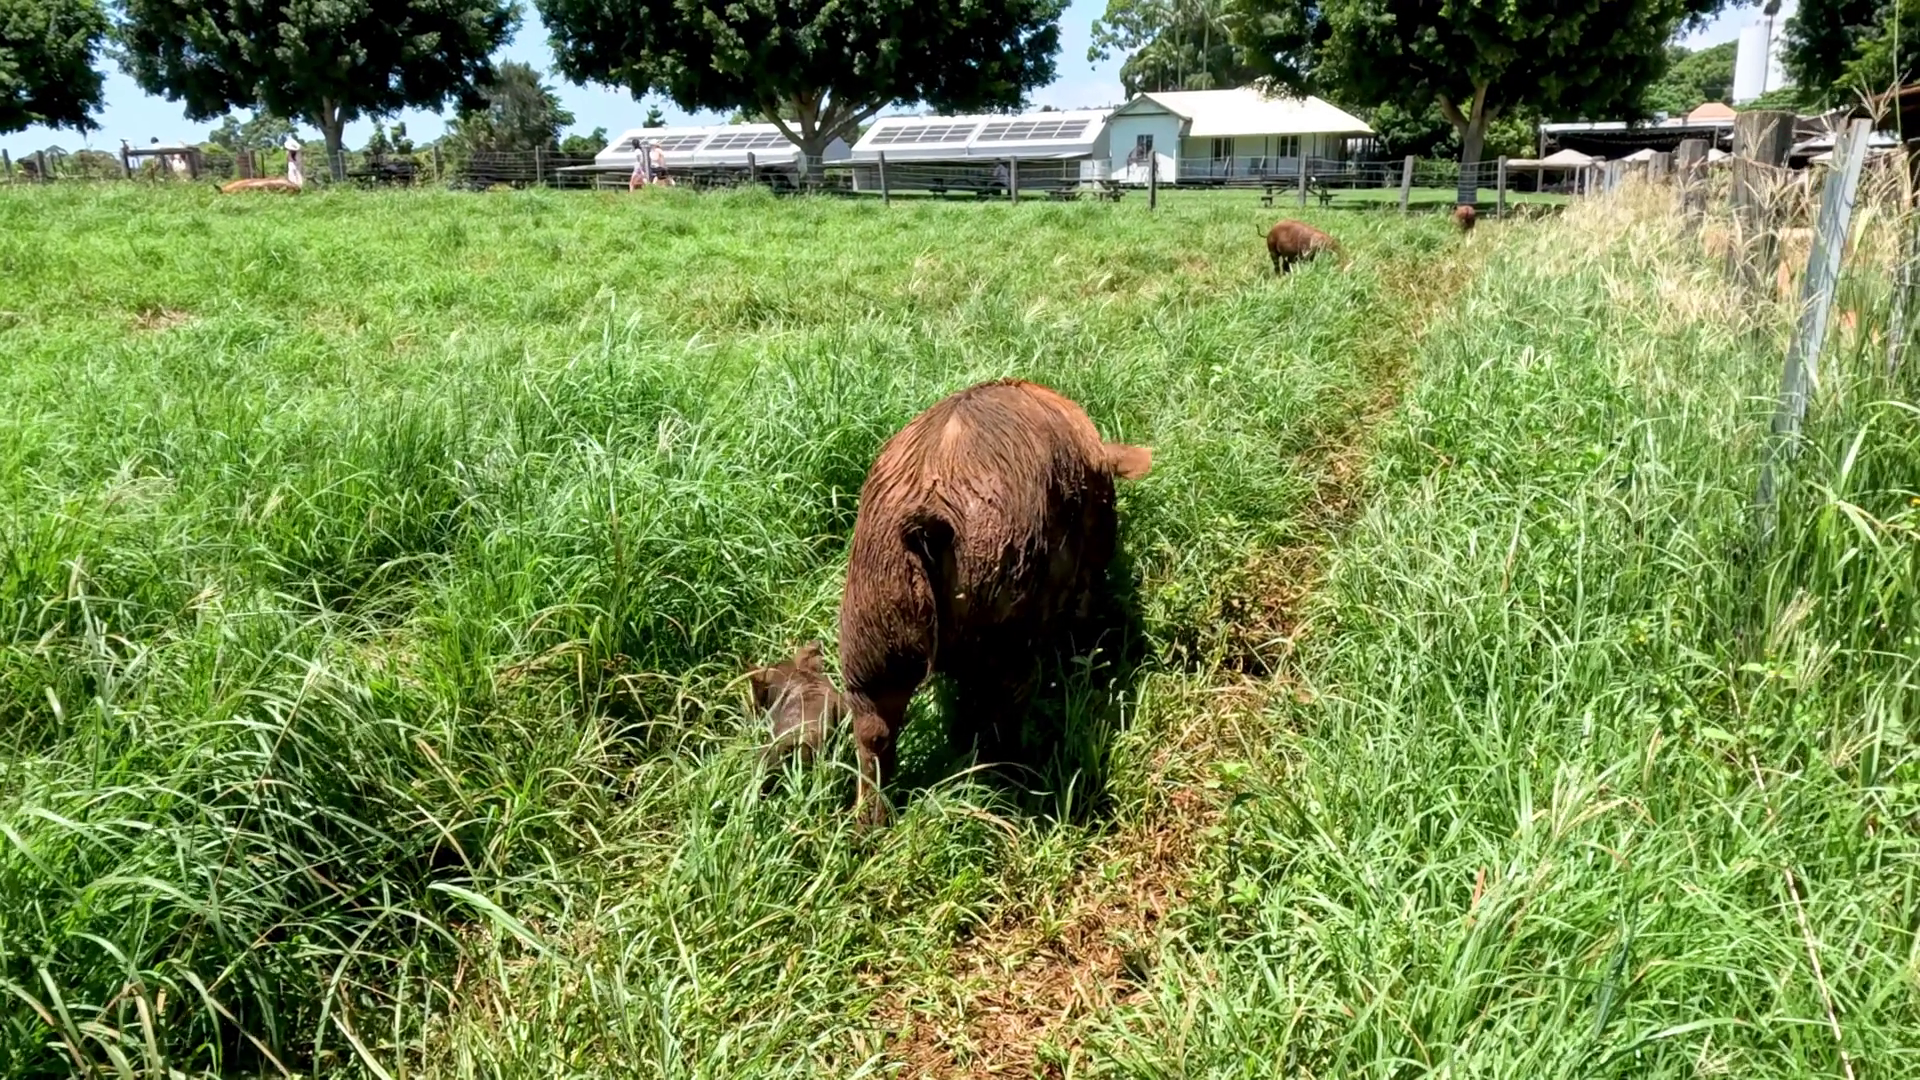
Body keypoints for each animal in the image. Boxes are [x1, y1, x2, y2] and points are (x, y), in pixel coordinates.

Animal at [837, 379, 1152, 825]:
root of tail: (928, 519)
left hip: (870, 619)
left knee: (873, 729)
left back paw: (868, 826)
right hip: (1007, 610)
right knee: (1001, 716)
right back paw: (1017, 783)